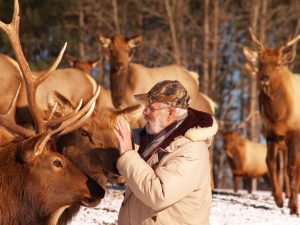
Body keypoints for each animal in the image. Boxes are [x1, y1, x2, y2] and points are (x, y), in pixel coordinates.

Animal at [244, 29, 300, 215]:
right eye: (260, 62)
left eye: (278, 63)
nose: (265, 78)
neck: (279, 116)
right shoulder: (271, 133)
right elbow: (270, 163)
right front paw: (279, 199)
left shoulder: (295, 132)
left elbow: (291, 167)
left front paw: (294, 207)